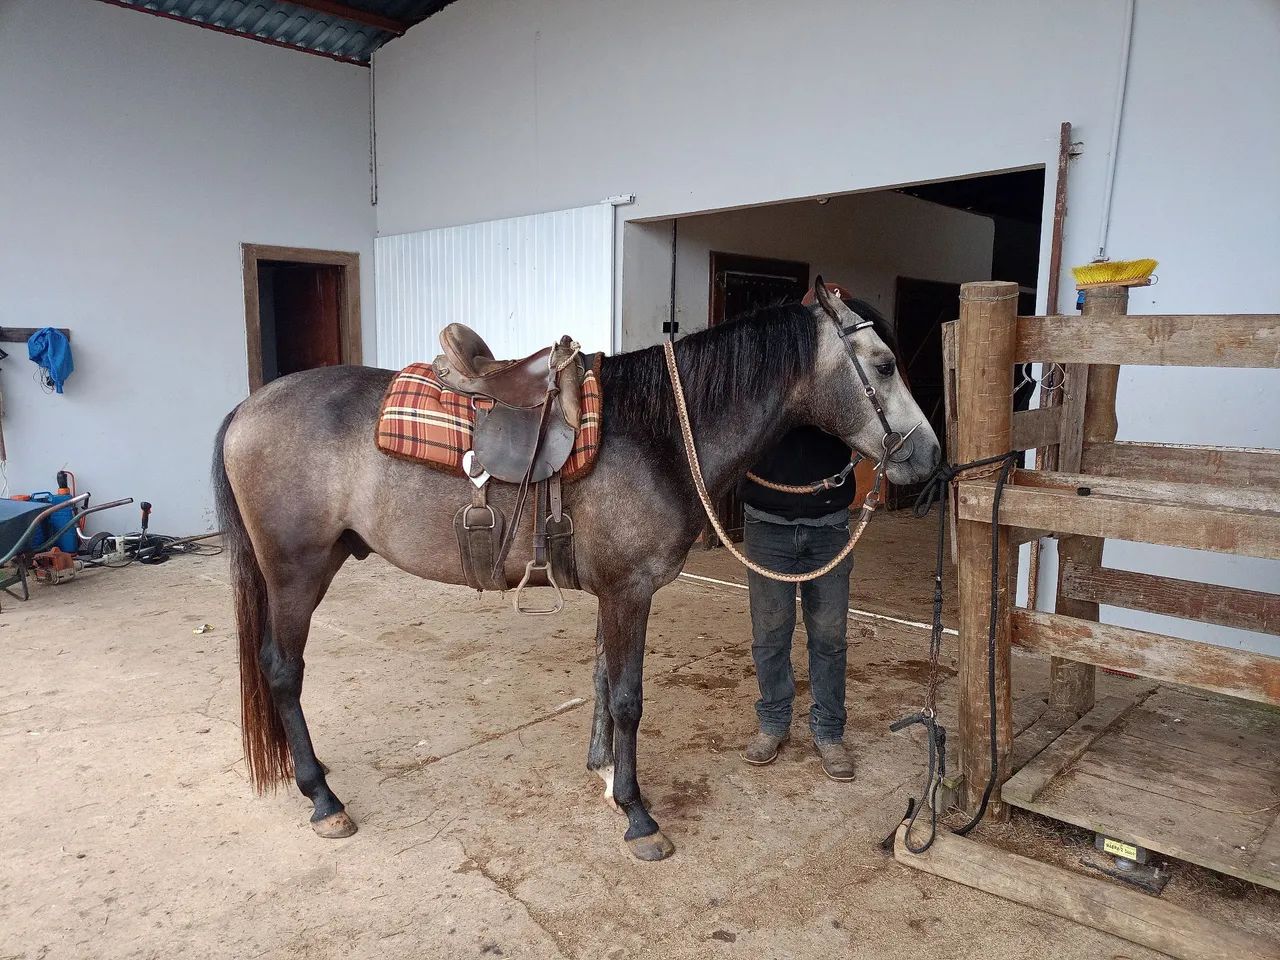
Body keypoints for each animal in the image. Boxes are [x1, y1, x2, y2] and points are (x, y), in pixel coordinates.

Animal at [211, 280, 941, 861]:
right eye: (883, 365)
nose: (929, 455)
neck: (656, 431)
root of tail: (247, 408)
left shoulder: (611, 593)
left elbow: (600, 683)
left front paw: (606, 778)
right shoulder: (630, 592)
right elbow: (627, 698)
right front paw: (639, 816)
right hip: (295, 572)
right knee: (283, 670)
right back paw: (323, 799)